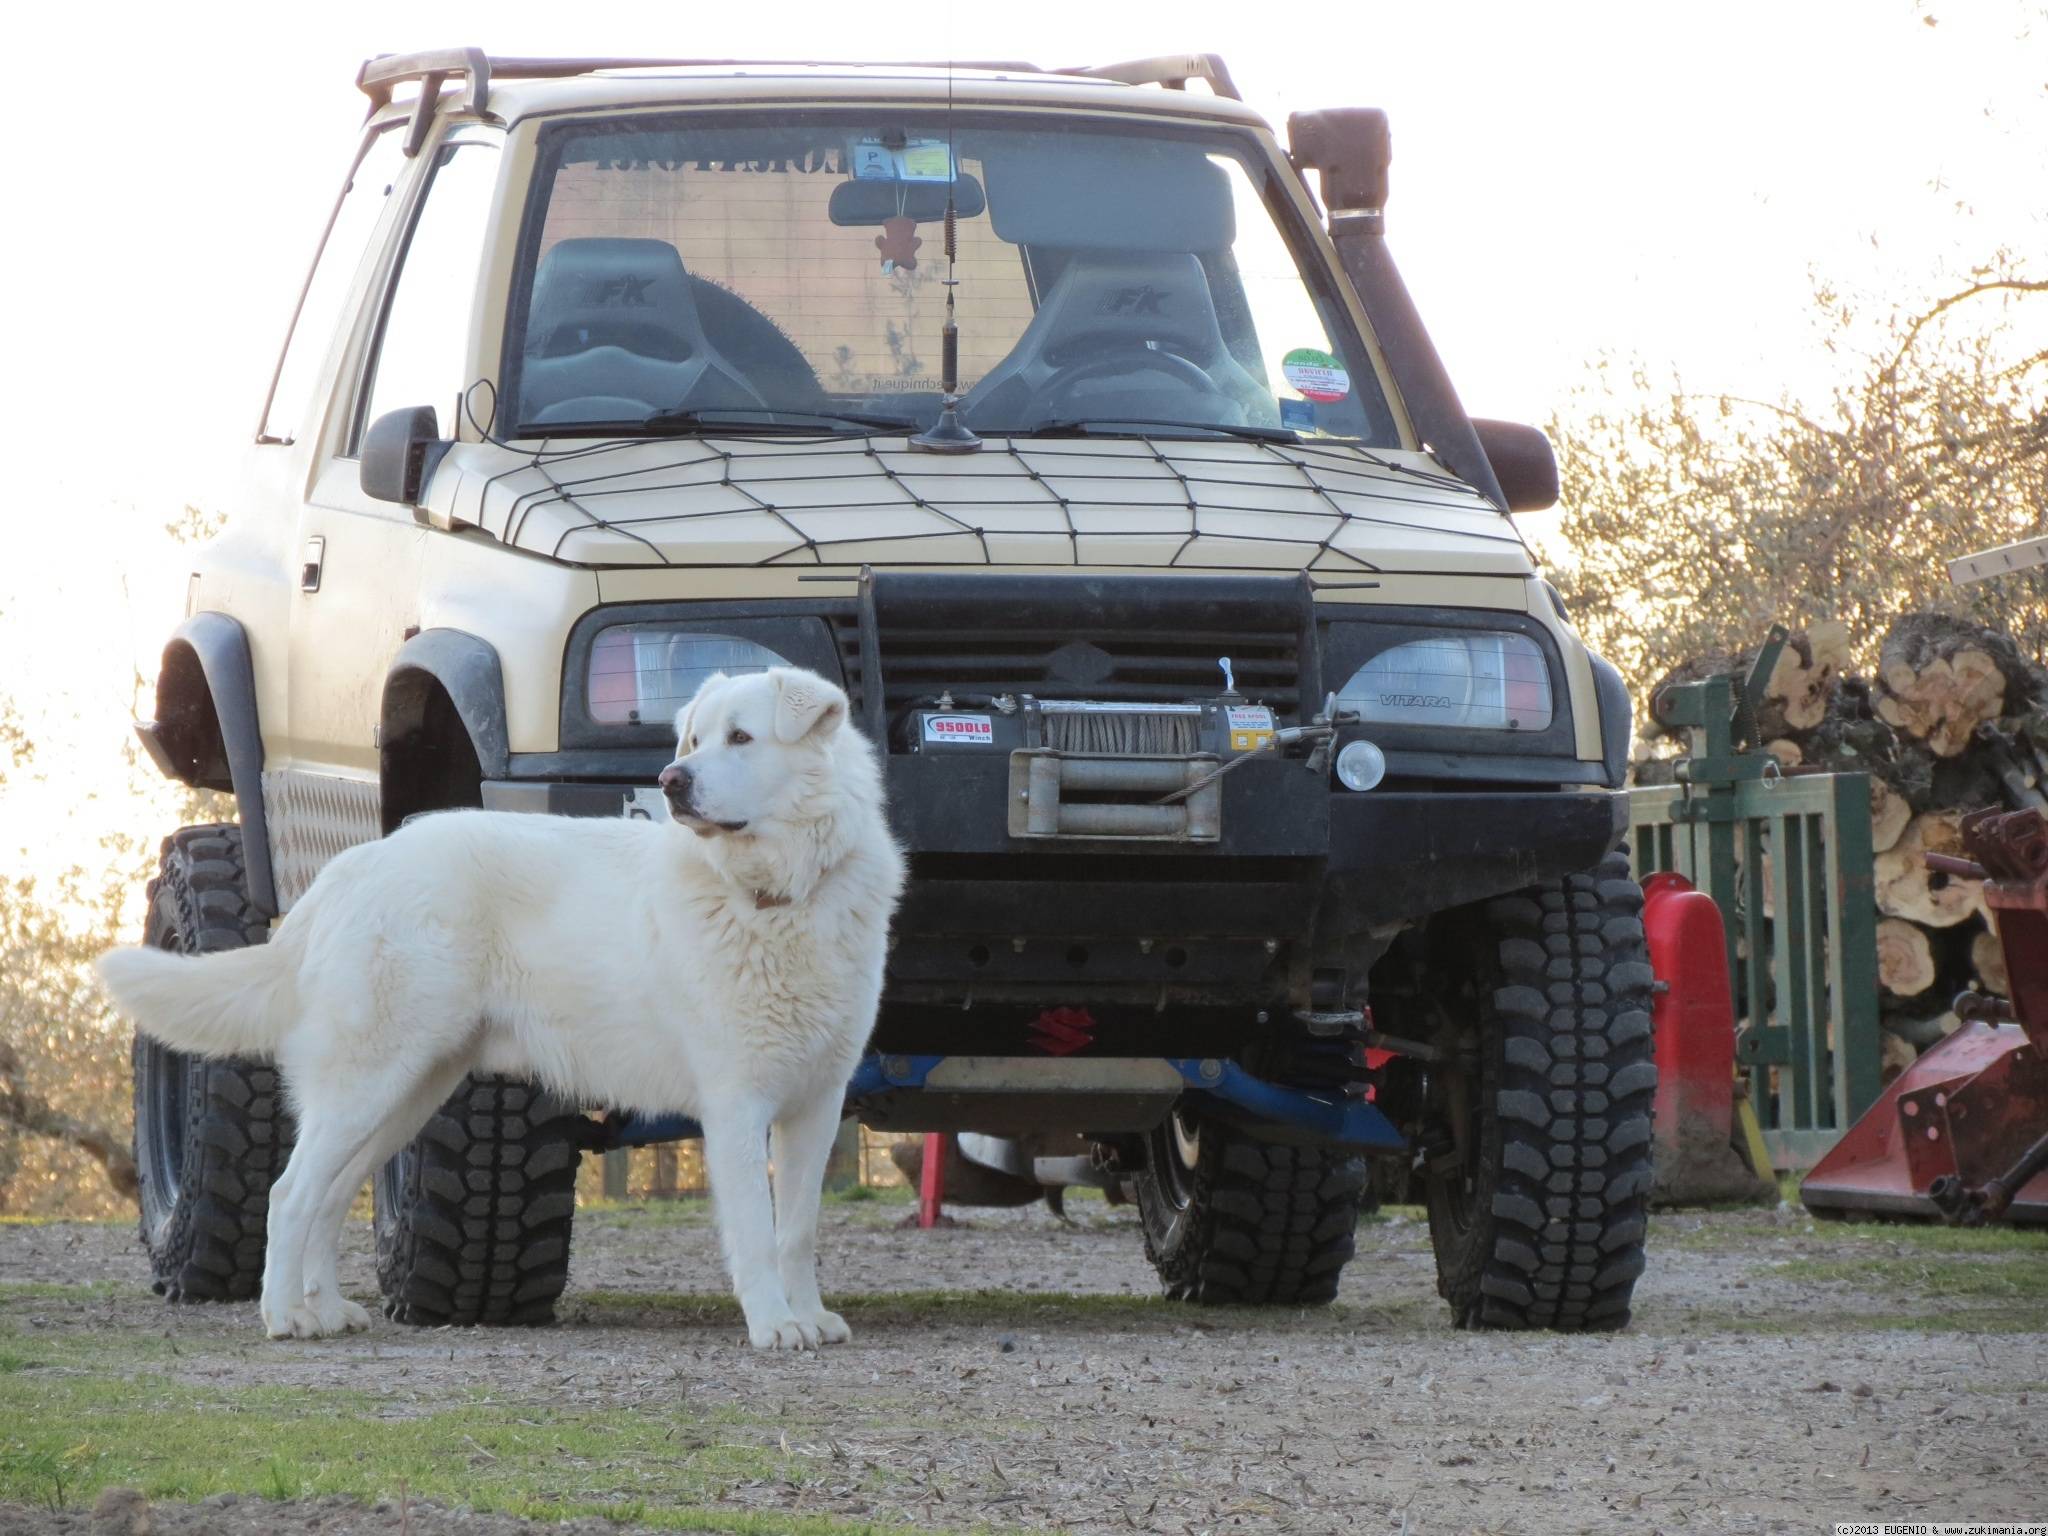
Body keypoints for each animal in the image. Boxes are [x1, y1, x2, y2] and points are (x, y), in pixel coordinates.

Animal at [101, 667, 905, 1351]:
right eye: (696, 740)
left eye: (741, 738)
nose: (672, 781)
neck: (777, 898)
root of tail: (350, 867)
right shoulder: (737, 1103)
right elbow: (758, 1233)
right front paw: (774, 1325)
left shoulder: (816, 1104)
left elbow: (797, 1231)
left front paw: (811, 1318)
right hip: (369, 1085)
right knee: (288, 1194)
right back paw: (283, 1318)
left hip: (406, 1094)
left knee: (328, 1199)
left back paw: (324, 1310)